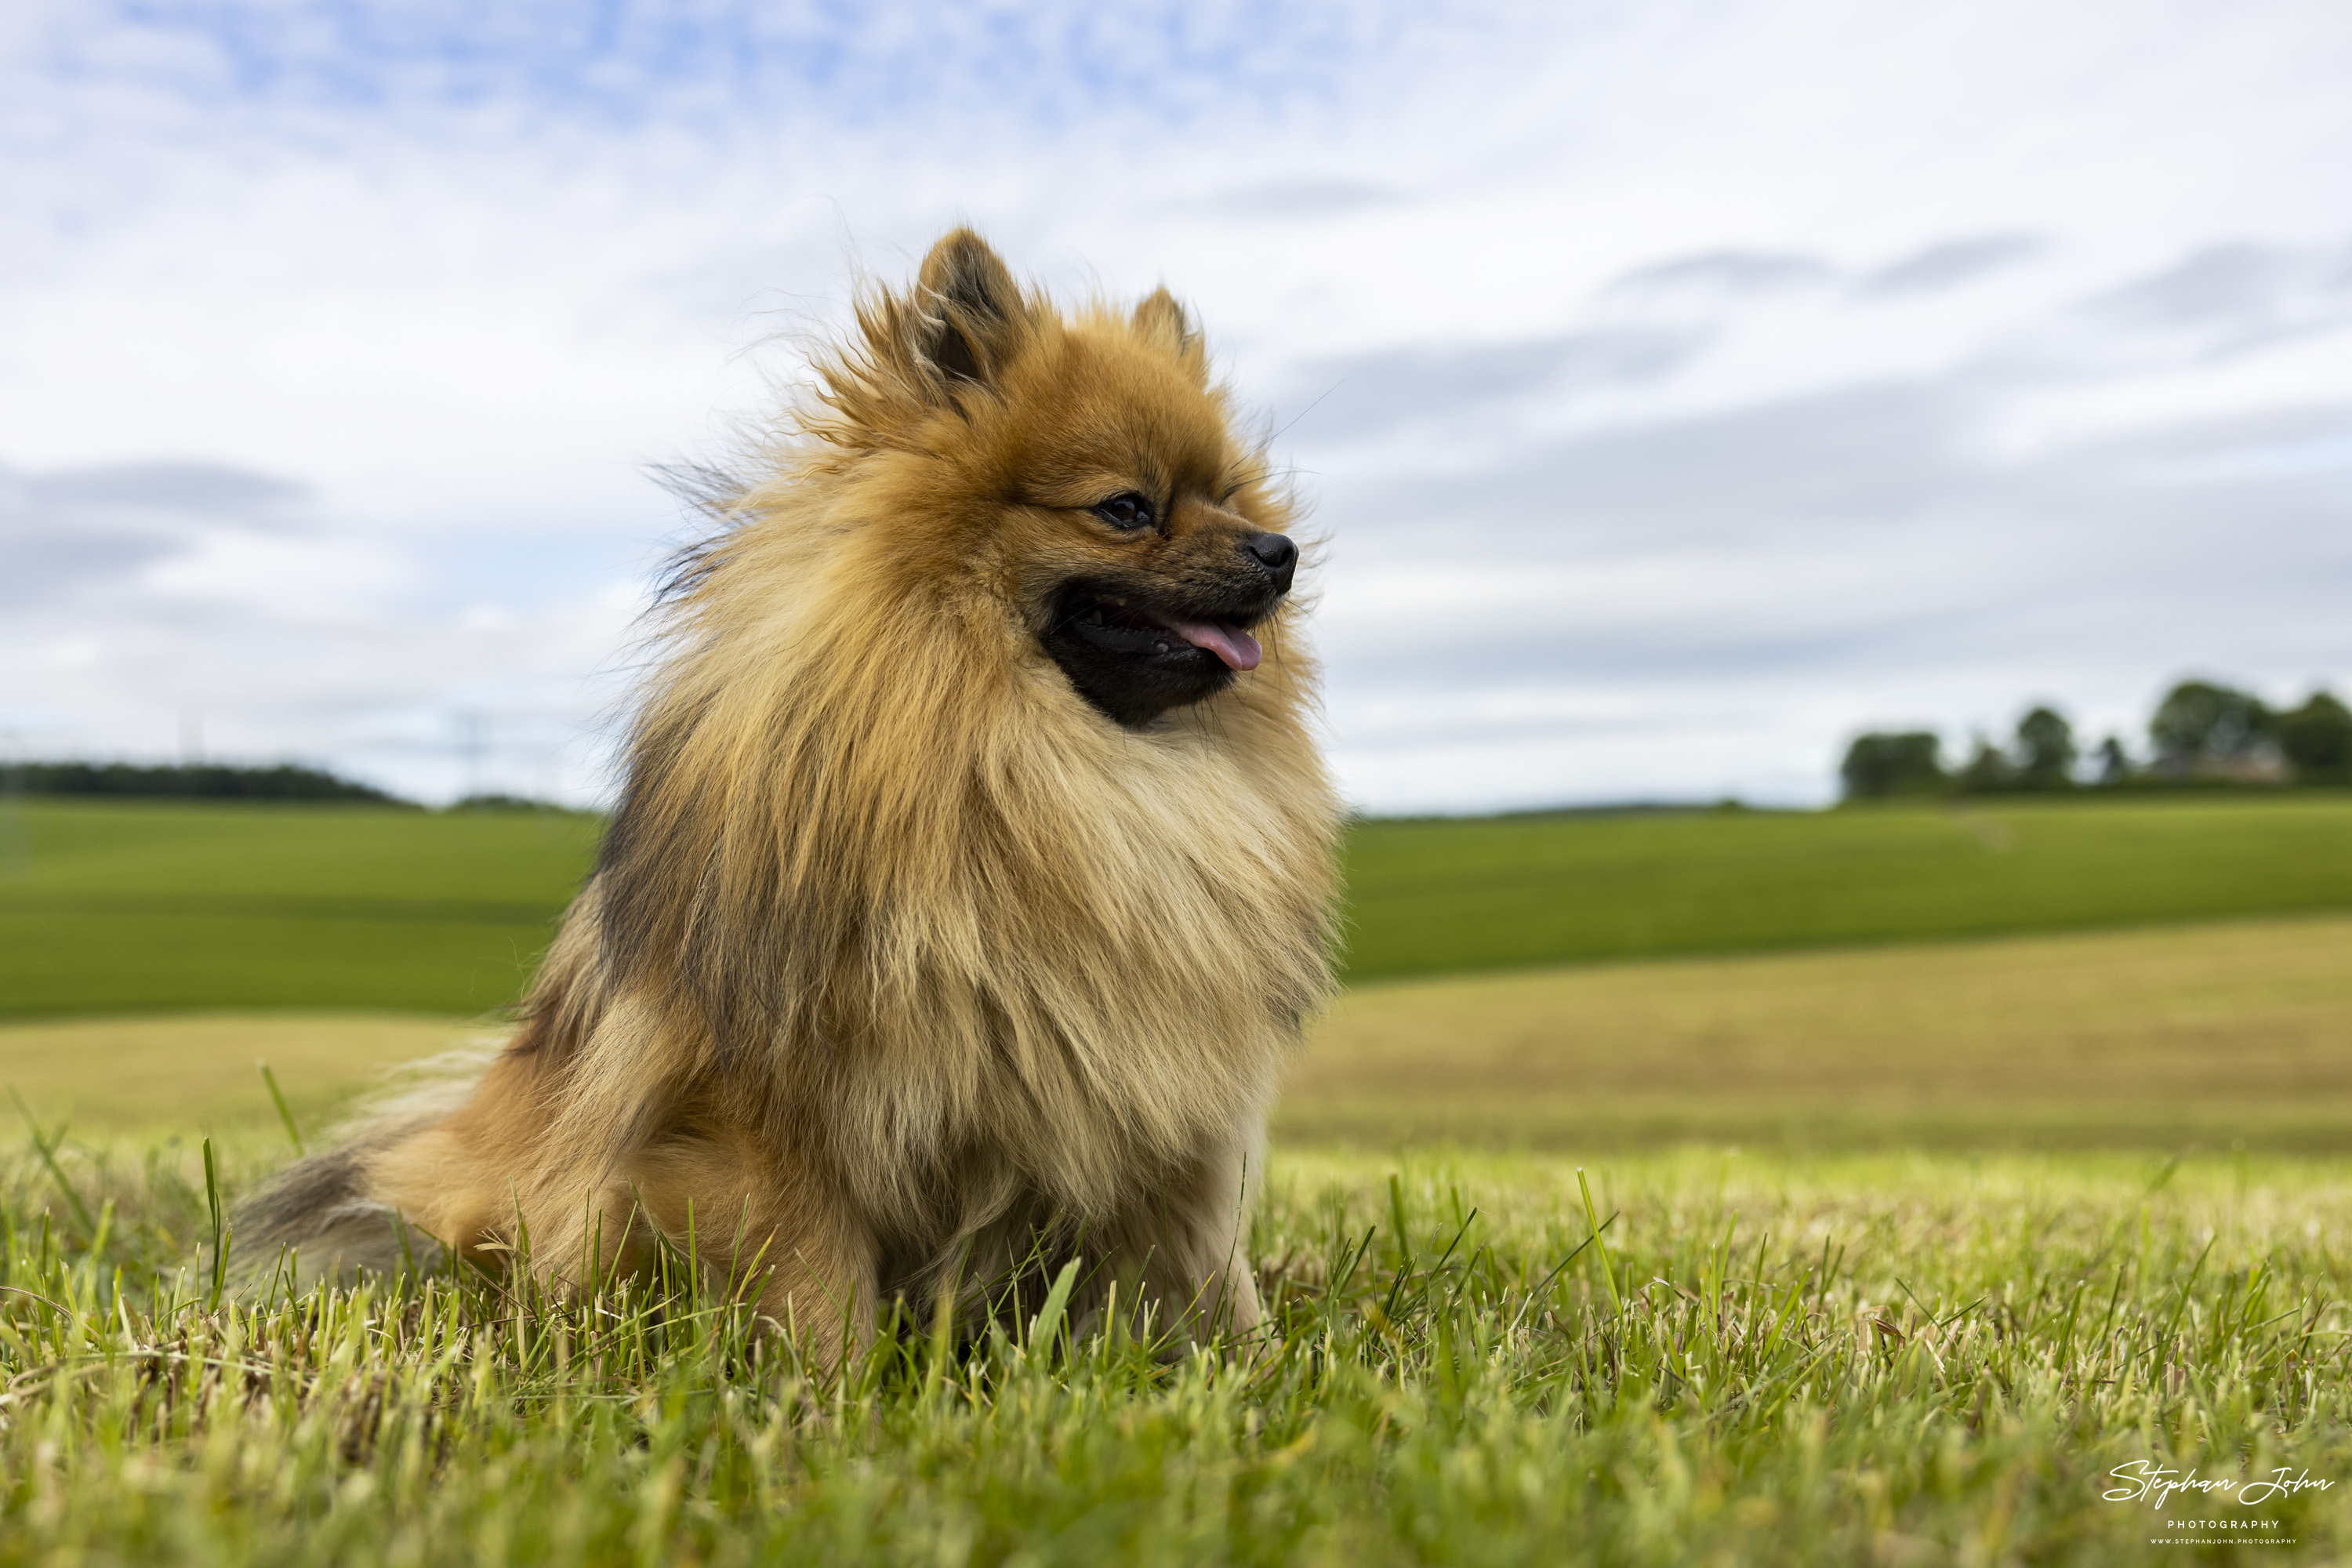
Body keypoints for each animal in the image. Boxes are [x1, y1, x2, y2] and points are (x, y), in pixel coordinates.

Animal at [238, 230, 1345, 1363]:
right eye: (1127, 509)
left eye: (1234, 499)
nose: (1280, 553)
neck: (1049, 761)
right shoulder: (773, 1112)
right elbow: (812, 1276)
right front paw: (831, 1385)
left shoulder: (1158, 1111)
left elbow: (1194, 1265)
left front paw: (1241, 1360)